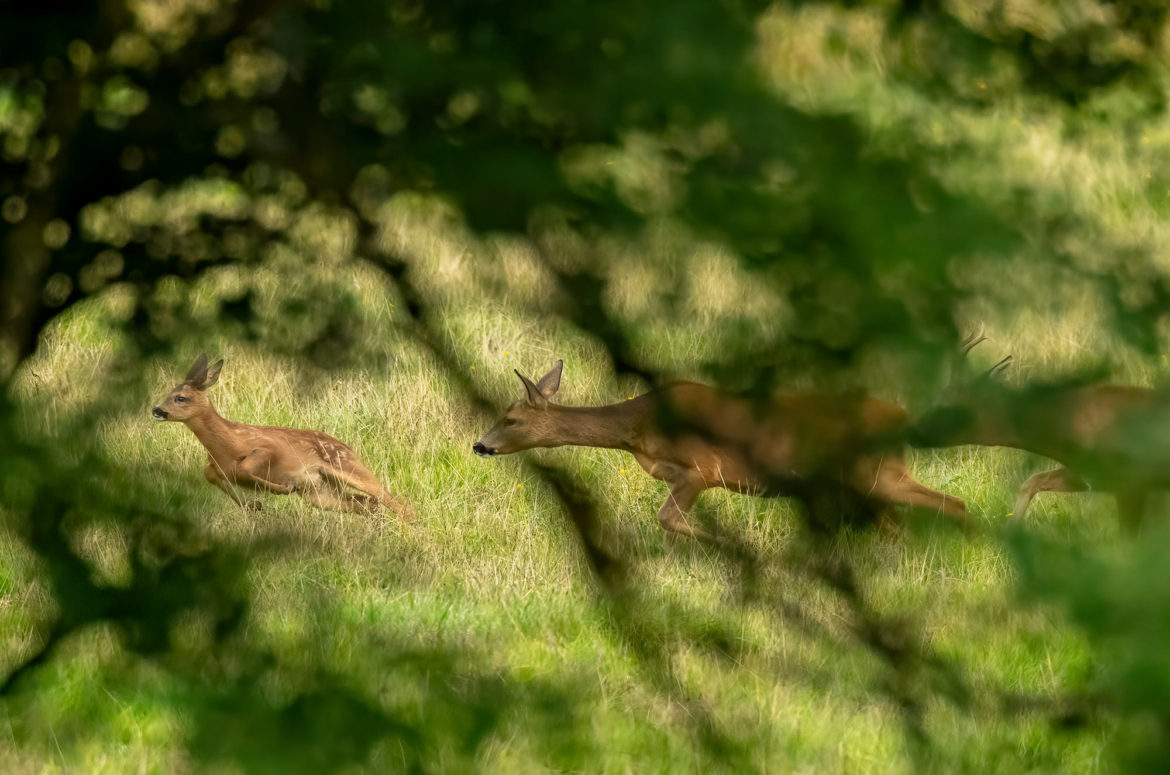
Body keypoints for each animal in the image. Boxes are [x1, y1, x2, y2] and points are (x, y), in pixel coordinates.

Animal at [152, 354, 413, 518]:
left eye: (181, 397)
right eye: (168, 393)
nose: (157, 410)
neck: (227, 445)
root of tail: (350, 448)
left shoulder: (268, 447)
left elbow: (245, 467)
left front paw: (282, 488)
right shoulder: (214, 468)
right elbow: (214, 476)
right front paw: (254, 505)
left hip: (348, 467)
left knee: (396, 503)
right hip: (320, 493)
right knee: (369, 503)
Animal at [472, 361, 967, 541]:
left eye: (510, 419)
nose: (480, 444)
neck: (638, 428)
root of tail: (902, 417)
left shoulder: (702, 468)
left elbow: (668, 518)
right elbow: (667, 520)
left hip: (874, 472)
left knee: (952, 504)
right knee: (901, 523)